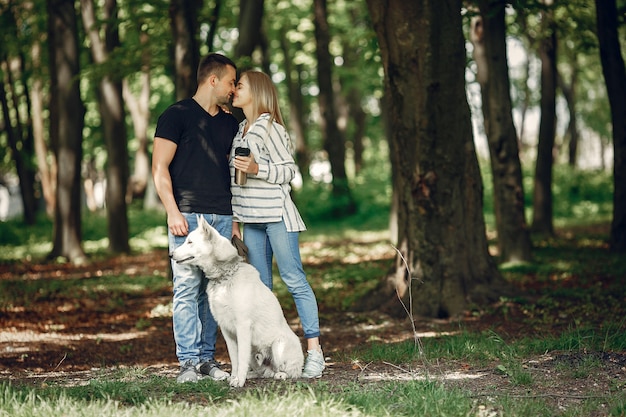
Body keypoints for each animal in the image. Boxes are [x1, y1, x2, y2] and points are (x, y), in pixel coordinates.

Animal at [167, 214, 302, 386]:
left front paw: (239, 381)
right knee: (264, 371)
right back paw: (253, 374)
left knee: (288, 372)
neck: (225, 277)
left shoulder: (242, 326)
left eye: (190, 242)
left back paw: (280, 375)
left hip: (278, 345)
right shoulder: (227, 330)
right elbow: (235, 359)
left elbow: (241, 358)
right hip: (256, 353)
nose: (171, 254)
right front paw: (234, 377)